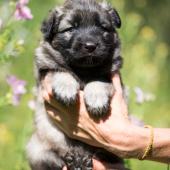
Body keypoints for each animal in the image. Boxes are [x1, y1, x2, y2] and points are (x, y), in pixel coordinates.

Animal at [26, 0, 125, 169]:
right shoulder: (45, 71)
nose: (90, 46)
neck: (82, 69)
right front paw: (66, 90)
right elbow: (60, 71)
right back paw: (73, 159)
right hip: (36, 148)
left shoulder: (110, 74)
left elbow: (98, 80)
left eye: (102, 27)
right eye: (71, 28)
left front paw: (96, 100)